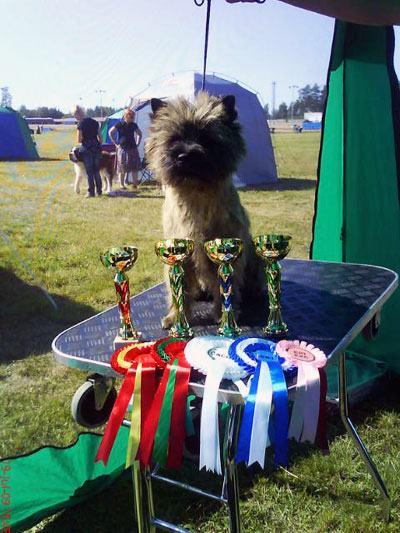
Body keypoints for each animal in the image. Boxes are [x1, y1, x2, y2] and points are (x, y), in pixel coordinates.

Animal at [145, 90, 264, 328]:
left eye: (206, 138)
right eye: (174, 139)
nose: (185, 156)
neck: (196, 194)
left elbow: (225, 285)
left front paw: (225, 313)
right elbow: (178, 288)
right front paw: (176, 316)